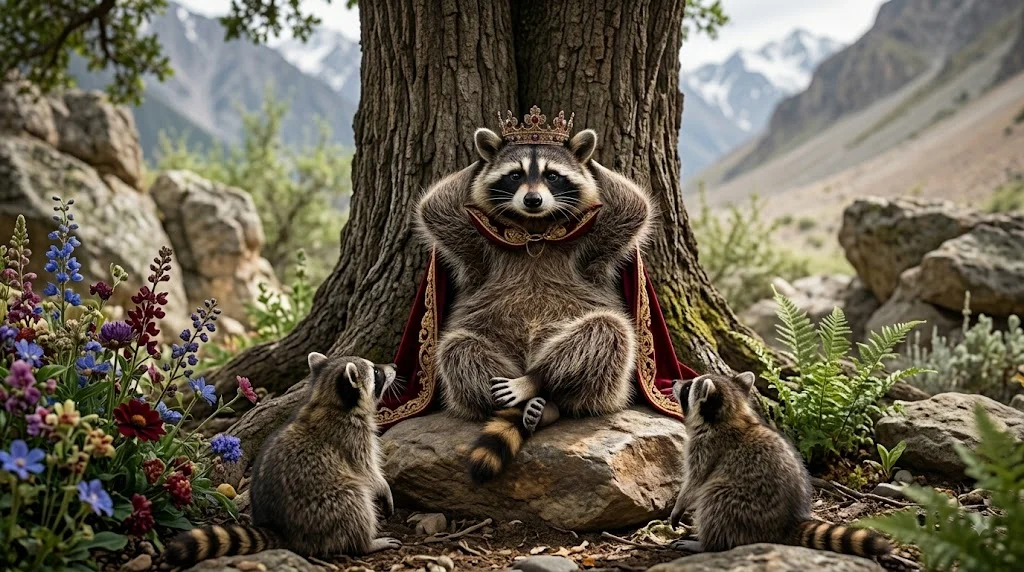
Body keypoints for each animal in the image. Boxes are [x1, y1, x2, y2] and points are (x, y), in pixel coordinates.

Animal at [164, 354, 401, 567]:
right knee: (355, 500)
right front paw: (382, 485)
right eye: (376, 372)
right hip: (323, 507)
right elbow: (366, 471)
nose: (394, 365)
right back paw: (366, 543)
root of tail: (281, 530)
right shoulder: (350, 438)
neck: (326, 400)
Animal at [416, 124, 654, 482]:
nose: (532, 199)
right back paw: (522, 401)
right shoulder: (475, 250)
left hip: (613, 386)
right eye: (514, 175)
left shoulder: (595, 247)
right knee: (458, 349)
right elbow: (437, 208)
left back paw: (538, 381)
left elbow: (633, 206)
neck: (535, 229)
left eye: (552, 175)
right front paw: (481, 158)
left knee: (606, 331)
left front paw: (589, 159)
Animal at [669, 372, 891, 558]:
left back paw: (706, 544)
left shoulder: (707, 447)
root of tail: (785, 526)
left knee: (714, 498)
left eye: (687, 388)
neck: (730, 415)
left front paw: (679, 506)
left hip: (744, 505)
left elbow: (696, 481)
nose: (673, 381)